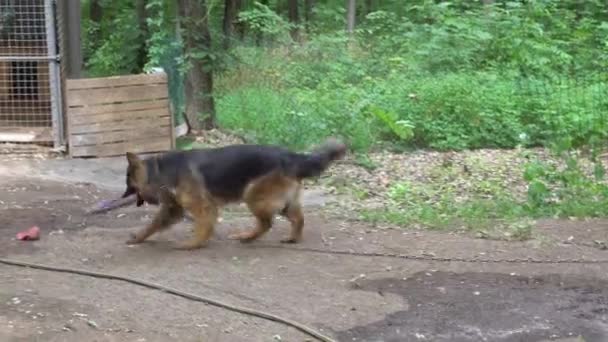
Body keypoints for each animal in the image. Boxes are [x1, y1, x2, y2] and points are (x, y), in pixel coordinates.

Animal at [122, 138, 346, 248]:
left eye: (129, 185)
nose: (124, 197)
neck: (160, 170)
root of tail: (292, 156)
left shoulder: (204, 207)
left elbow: (203, 227)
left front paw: (193, 244)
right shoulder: (173, 209)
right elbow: (153, 225)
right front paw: (139, 237)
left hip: (253, 196)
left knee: (266, 223)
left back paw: (247, 237)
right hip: (281, 201)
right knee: (297, 219)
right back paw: (292, 238)